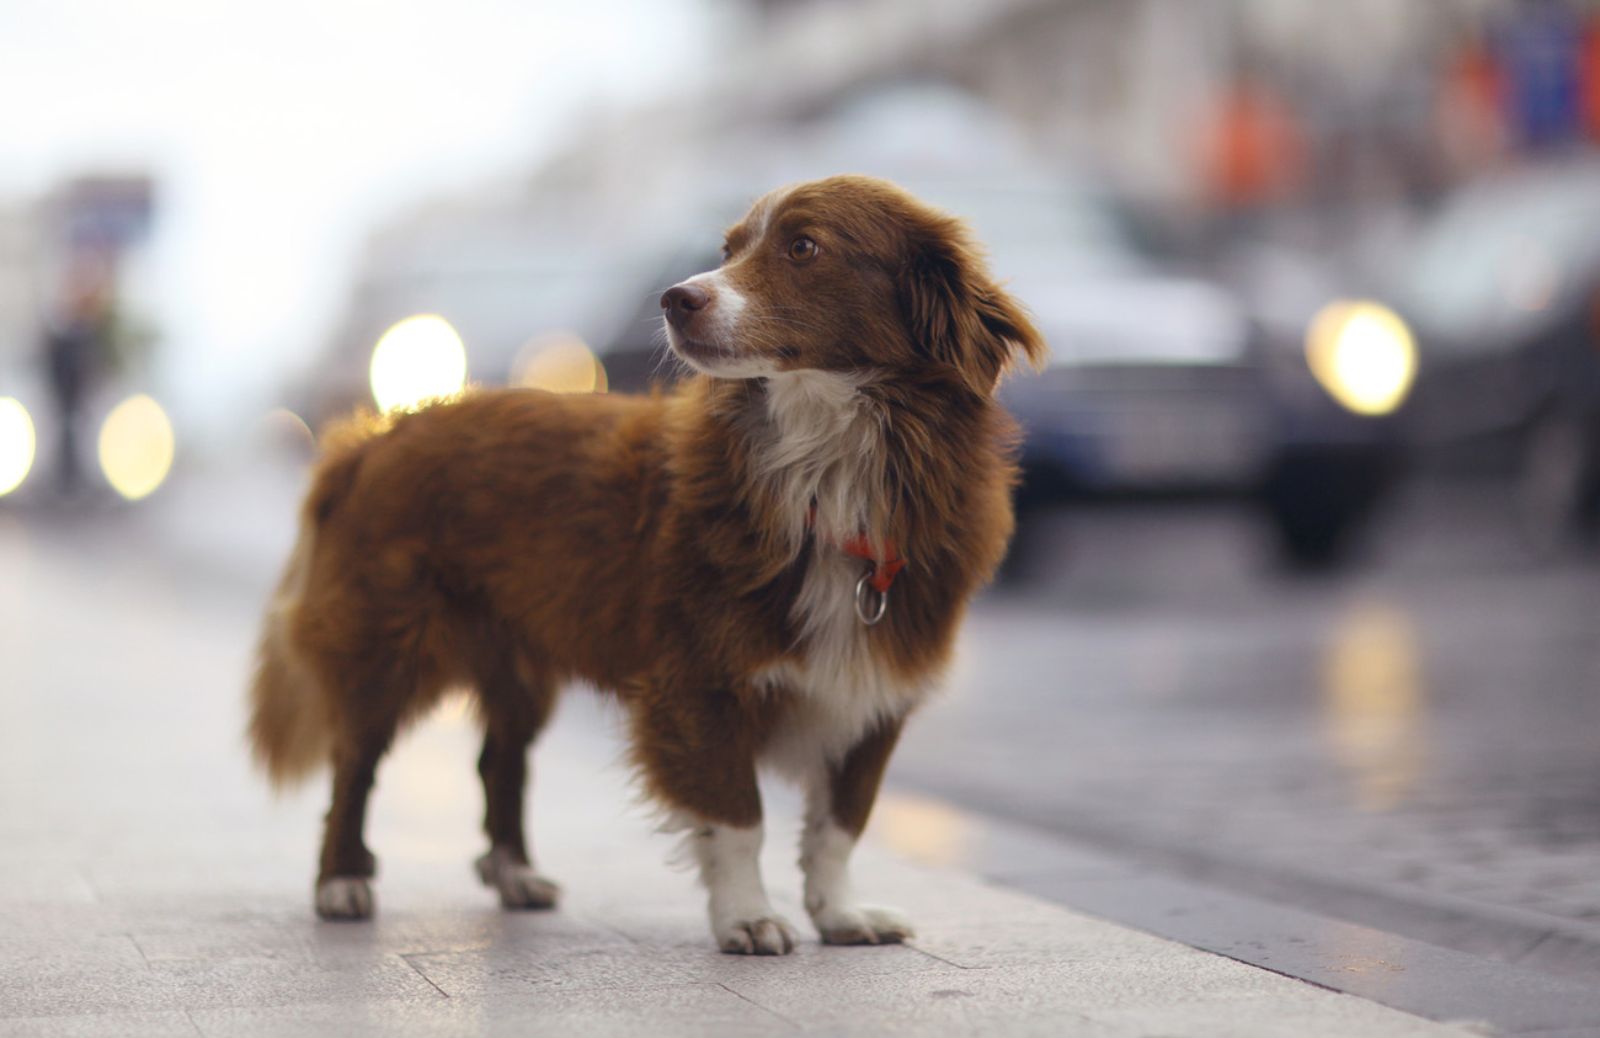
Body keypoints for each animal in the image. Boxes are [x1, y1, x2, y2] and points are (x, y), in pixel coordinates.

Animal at [246, 171, 1049, 953]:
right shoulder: (699, 680)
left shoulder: (874, 688)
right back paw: (342, 883)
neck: (827, 471)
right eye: (727, 249)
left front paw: (841, 915)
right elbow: (738, 816)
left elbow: (840, 827)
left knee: (499, 763)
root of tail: (371, 437)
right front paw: (747, 919)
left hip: (515, 660)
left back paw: (515, 875)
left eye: (804, 247)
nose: (675, 298)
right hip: (385, 640)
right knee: (355, 763)